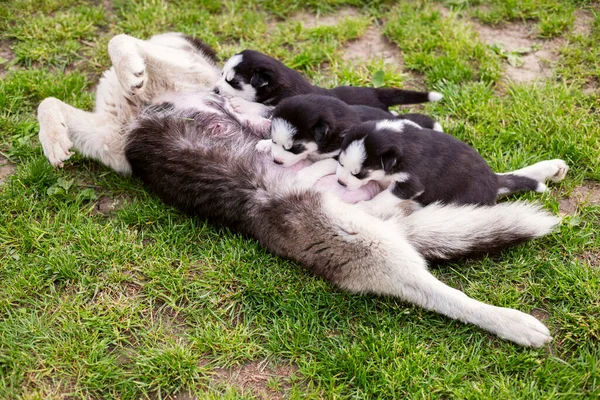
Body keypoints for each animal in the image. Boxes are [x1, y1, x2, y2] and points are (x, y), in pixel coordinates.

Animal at [338, 119, 548, 212]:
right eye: (339, 162)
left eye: (359, 174)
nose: (340, 182)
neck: (399, 139)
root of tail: (494, 183)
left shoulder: (410, 183)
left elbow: (385, 197)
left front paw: (367, 206)